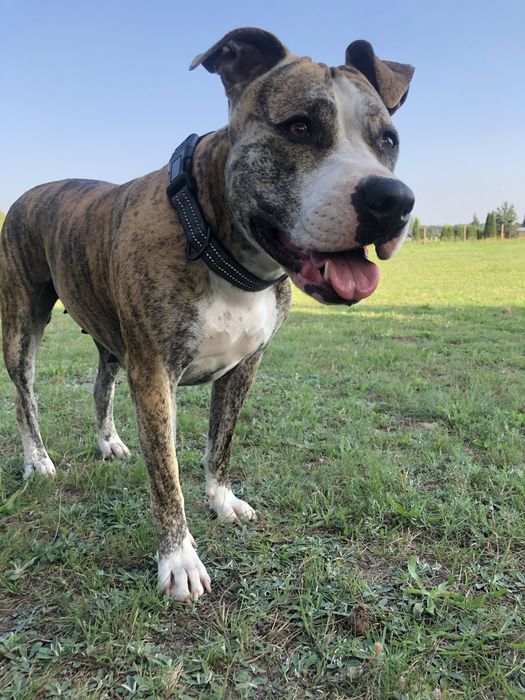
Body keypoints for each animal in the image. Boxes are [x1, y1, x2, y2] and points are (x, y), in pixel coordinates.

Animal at [0, 28, 414, 602]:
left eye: (388, 141)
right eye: (300, 127)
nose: (391, 200)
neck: (221, 243)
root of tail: (30, 191)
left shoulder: (245, 366)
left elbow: (221, 441)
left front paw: (220, 500)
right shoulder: (154, 376)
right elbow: (166, 474)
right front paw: (178, 560)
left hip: (108, 335)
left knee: (100, 387)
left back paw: (109, 442)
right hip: (22, 325)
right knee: (25, 398)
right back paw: (36, 460)